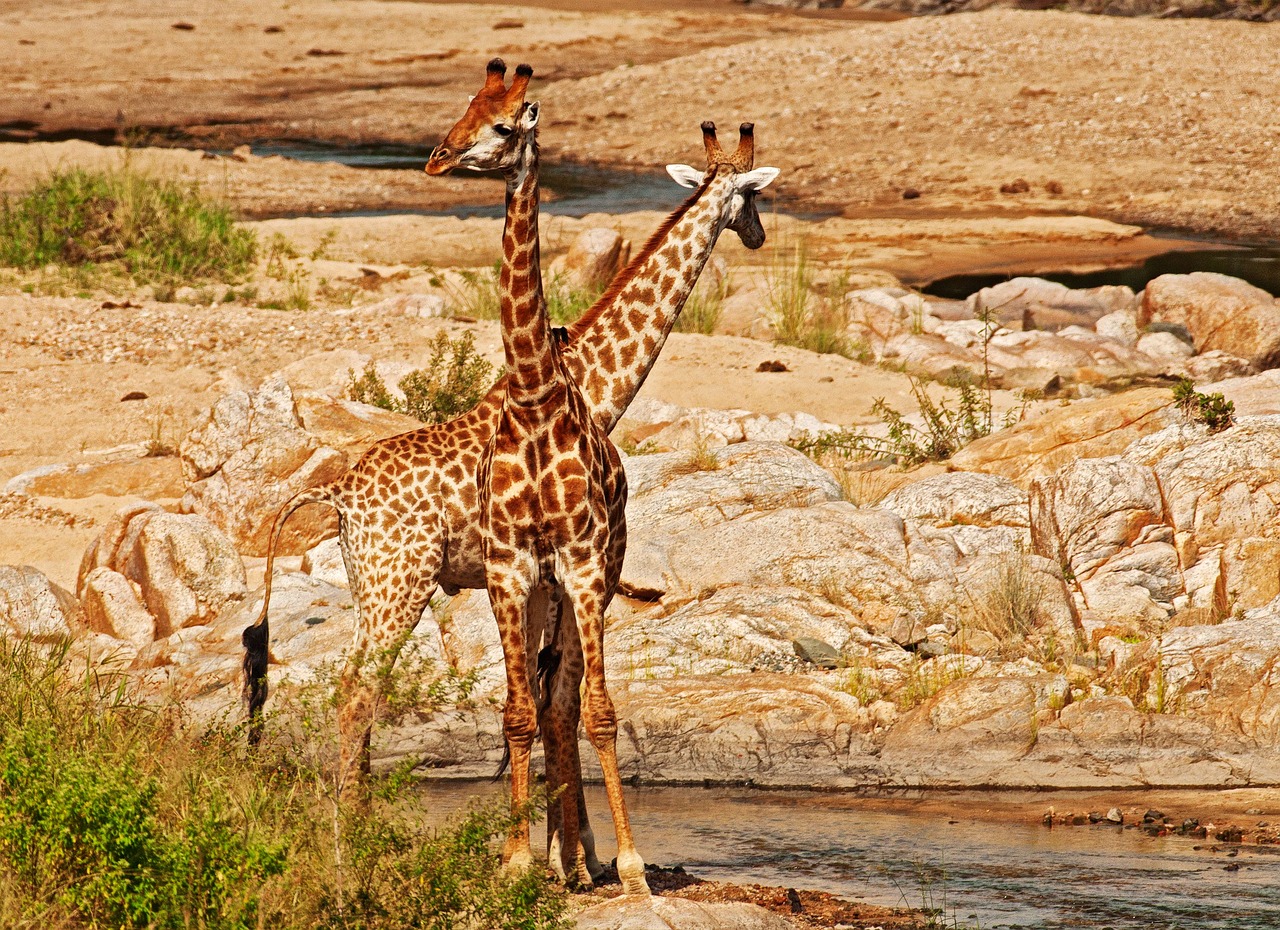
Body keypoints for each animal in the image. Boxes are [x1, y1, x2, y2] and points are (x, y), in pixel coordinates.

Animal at [240, 69, 778, 874]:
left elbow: (551, 702)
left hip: (374, 586)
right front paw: (576, 858)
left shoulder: (550, 574)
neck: (593, 380)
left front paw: (564, 856)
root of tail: (336, 494)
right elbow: (557, 703)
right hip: (401, 584)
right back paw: (354, 842)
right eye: (754, 196)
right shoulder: (563, 568)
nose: (758, 233)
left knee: (354, 686)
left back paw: (359, 831)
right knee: (361, 691)